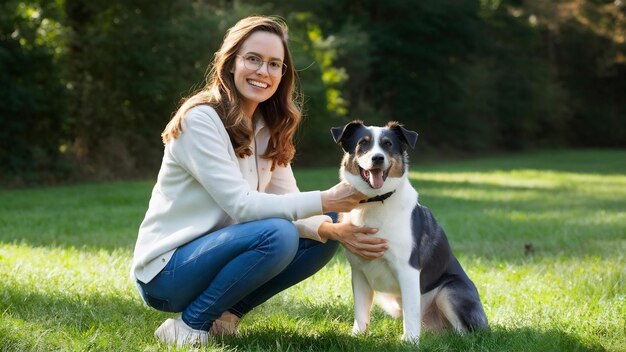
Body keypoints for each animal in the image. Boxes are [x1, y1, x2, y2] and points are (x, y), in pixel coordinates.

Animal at [330, 121, 486, 344]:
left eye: (388, 144)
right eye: (363, 143)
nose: (377, 158)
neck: (375, 201)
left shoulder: (408, 269)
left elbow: (411, 312)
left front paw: (410, 342)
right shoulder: (359, 271)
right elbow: (360, 310)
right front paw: (357, 336)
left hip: (450, 291)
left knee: (464, 332)